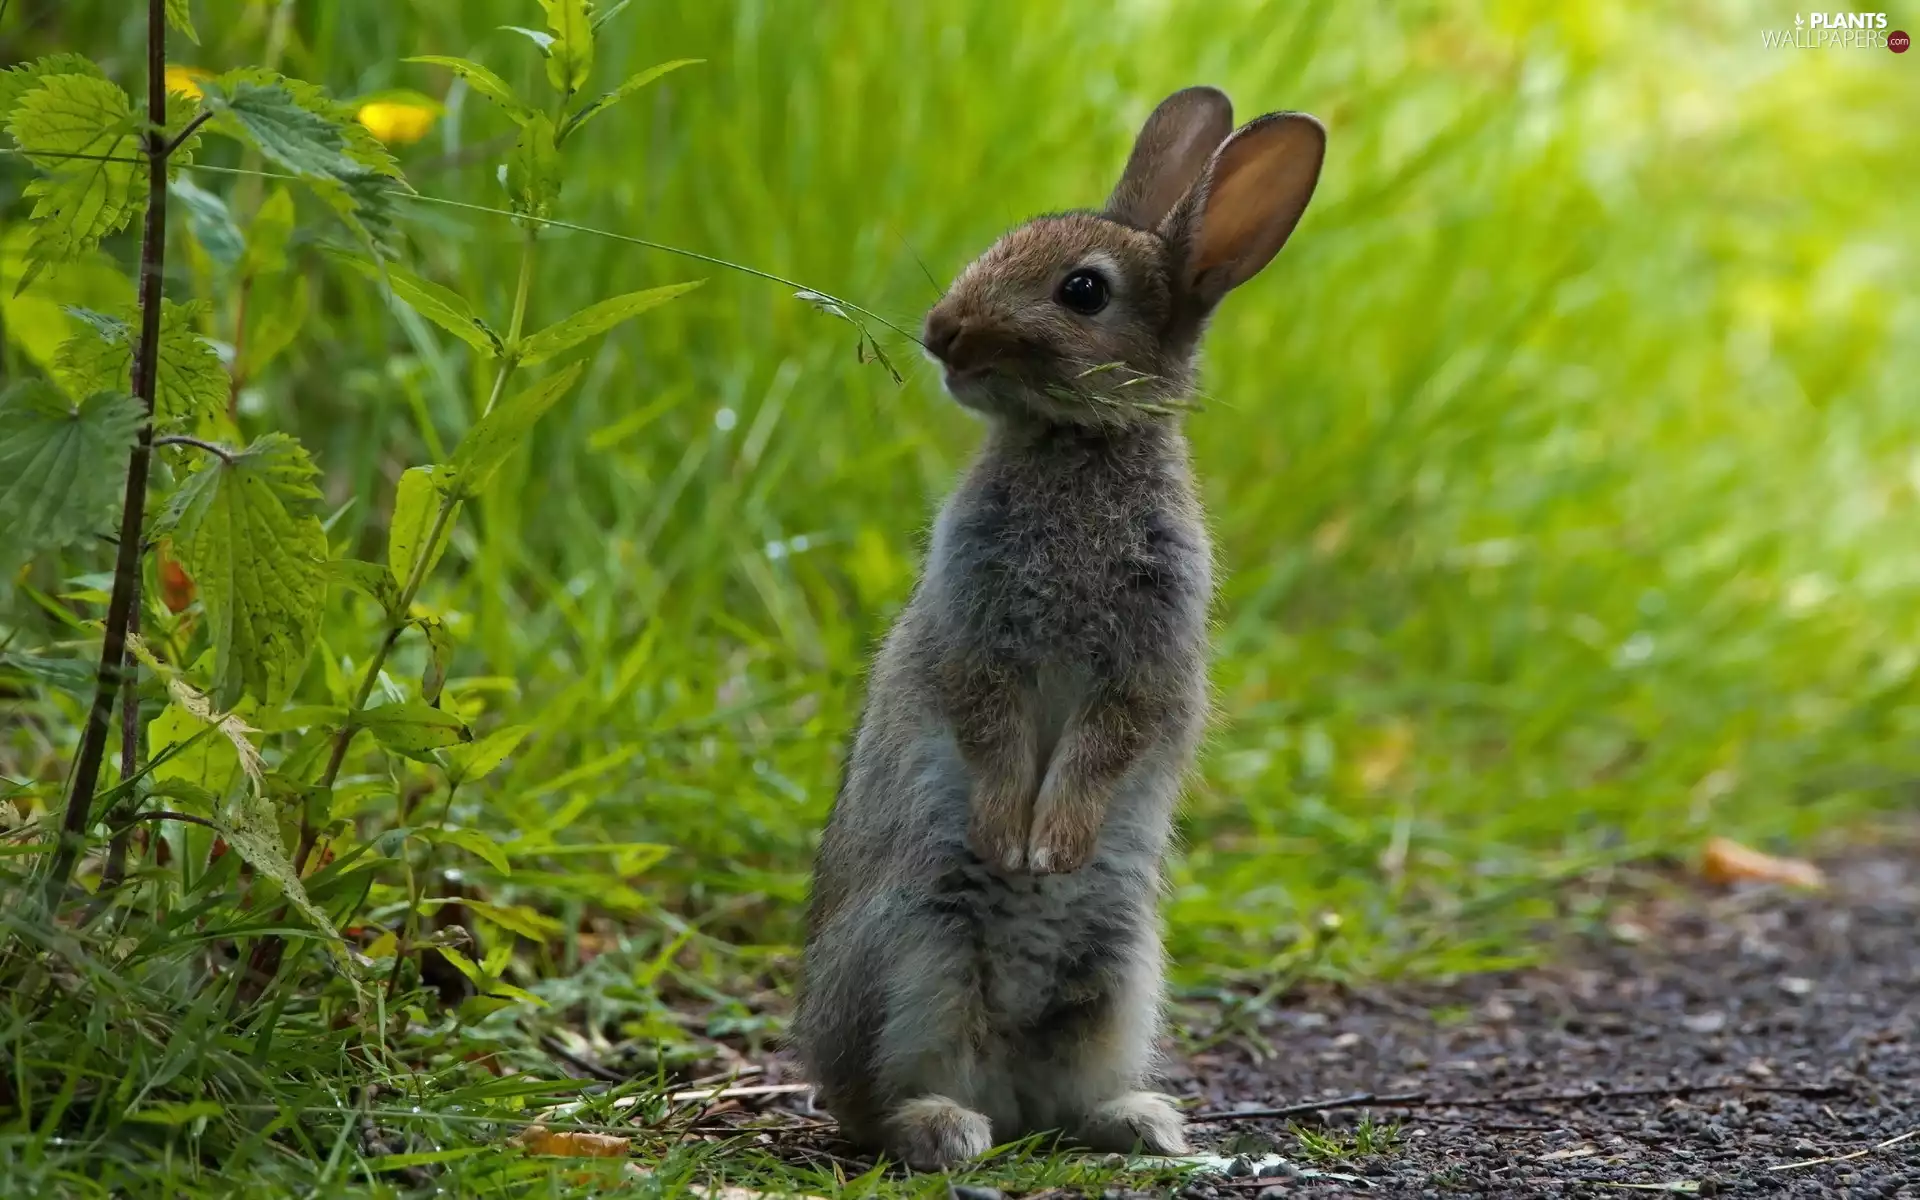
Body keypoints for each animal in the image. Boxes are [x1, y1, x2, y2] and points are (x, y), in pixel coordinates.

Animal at [791, 86, 1326, 1172]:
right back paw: (946, 1128)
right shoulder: (977, 635)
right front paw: (1014, 842)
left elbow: (1108, 739)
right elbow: (989, 722)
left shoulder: (1147, 661)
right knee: (873, 1105)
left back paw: (1137, 1121)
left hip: (1118, 974)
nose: (942, 332)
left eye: (1083, 291)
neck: (1077, 443)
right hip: (913, 952)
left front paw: (1052, 851)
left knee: (1056, 1096)